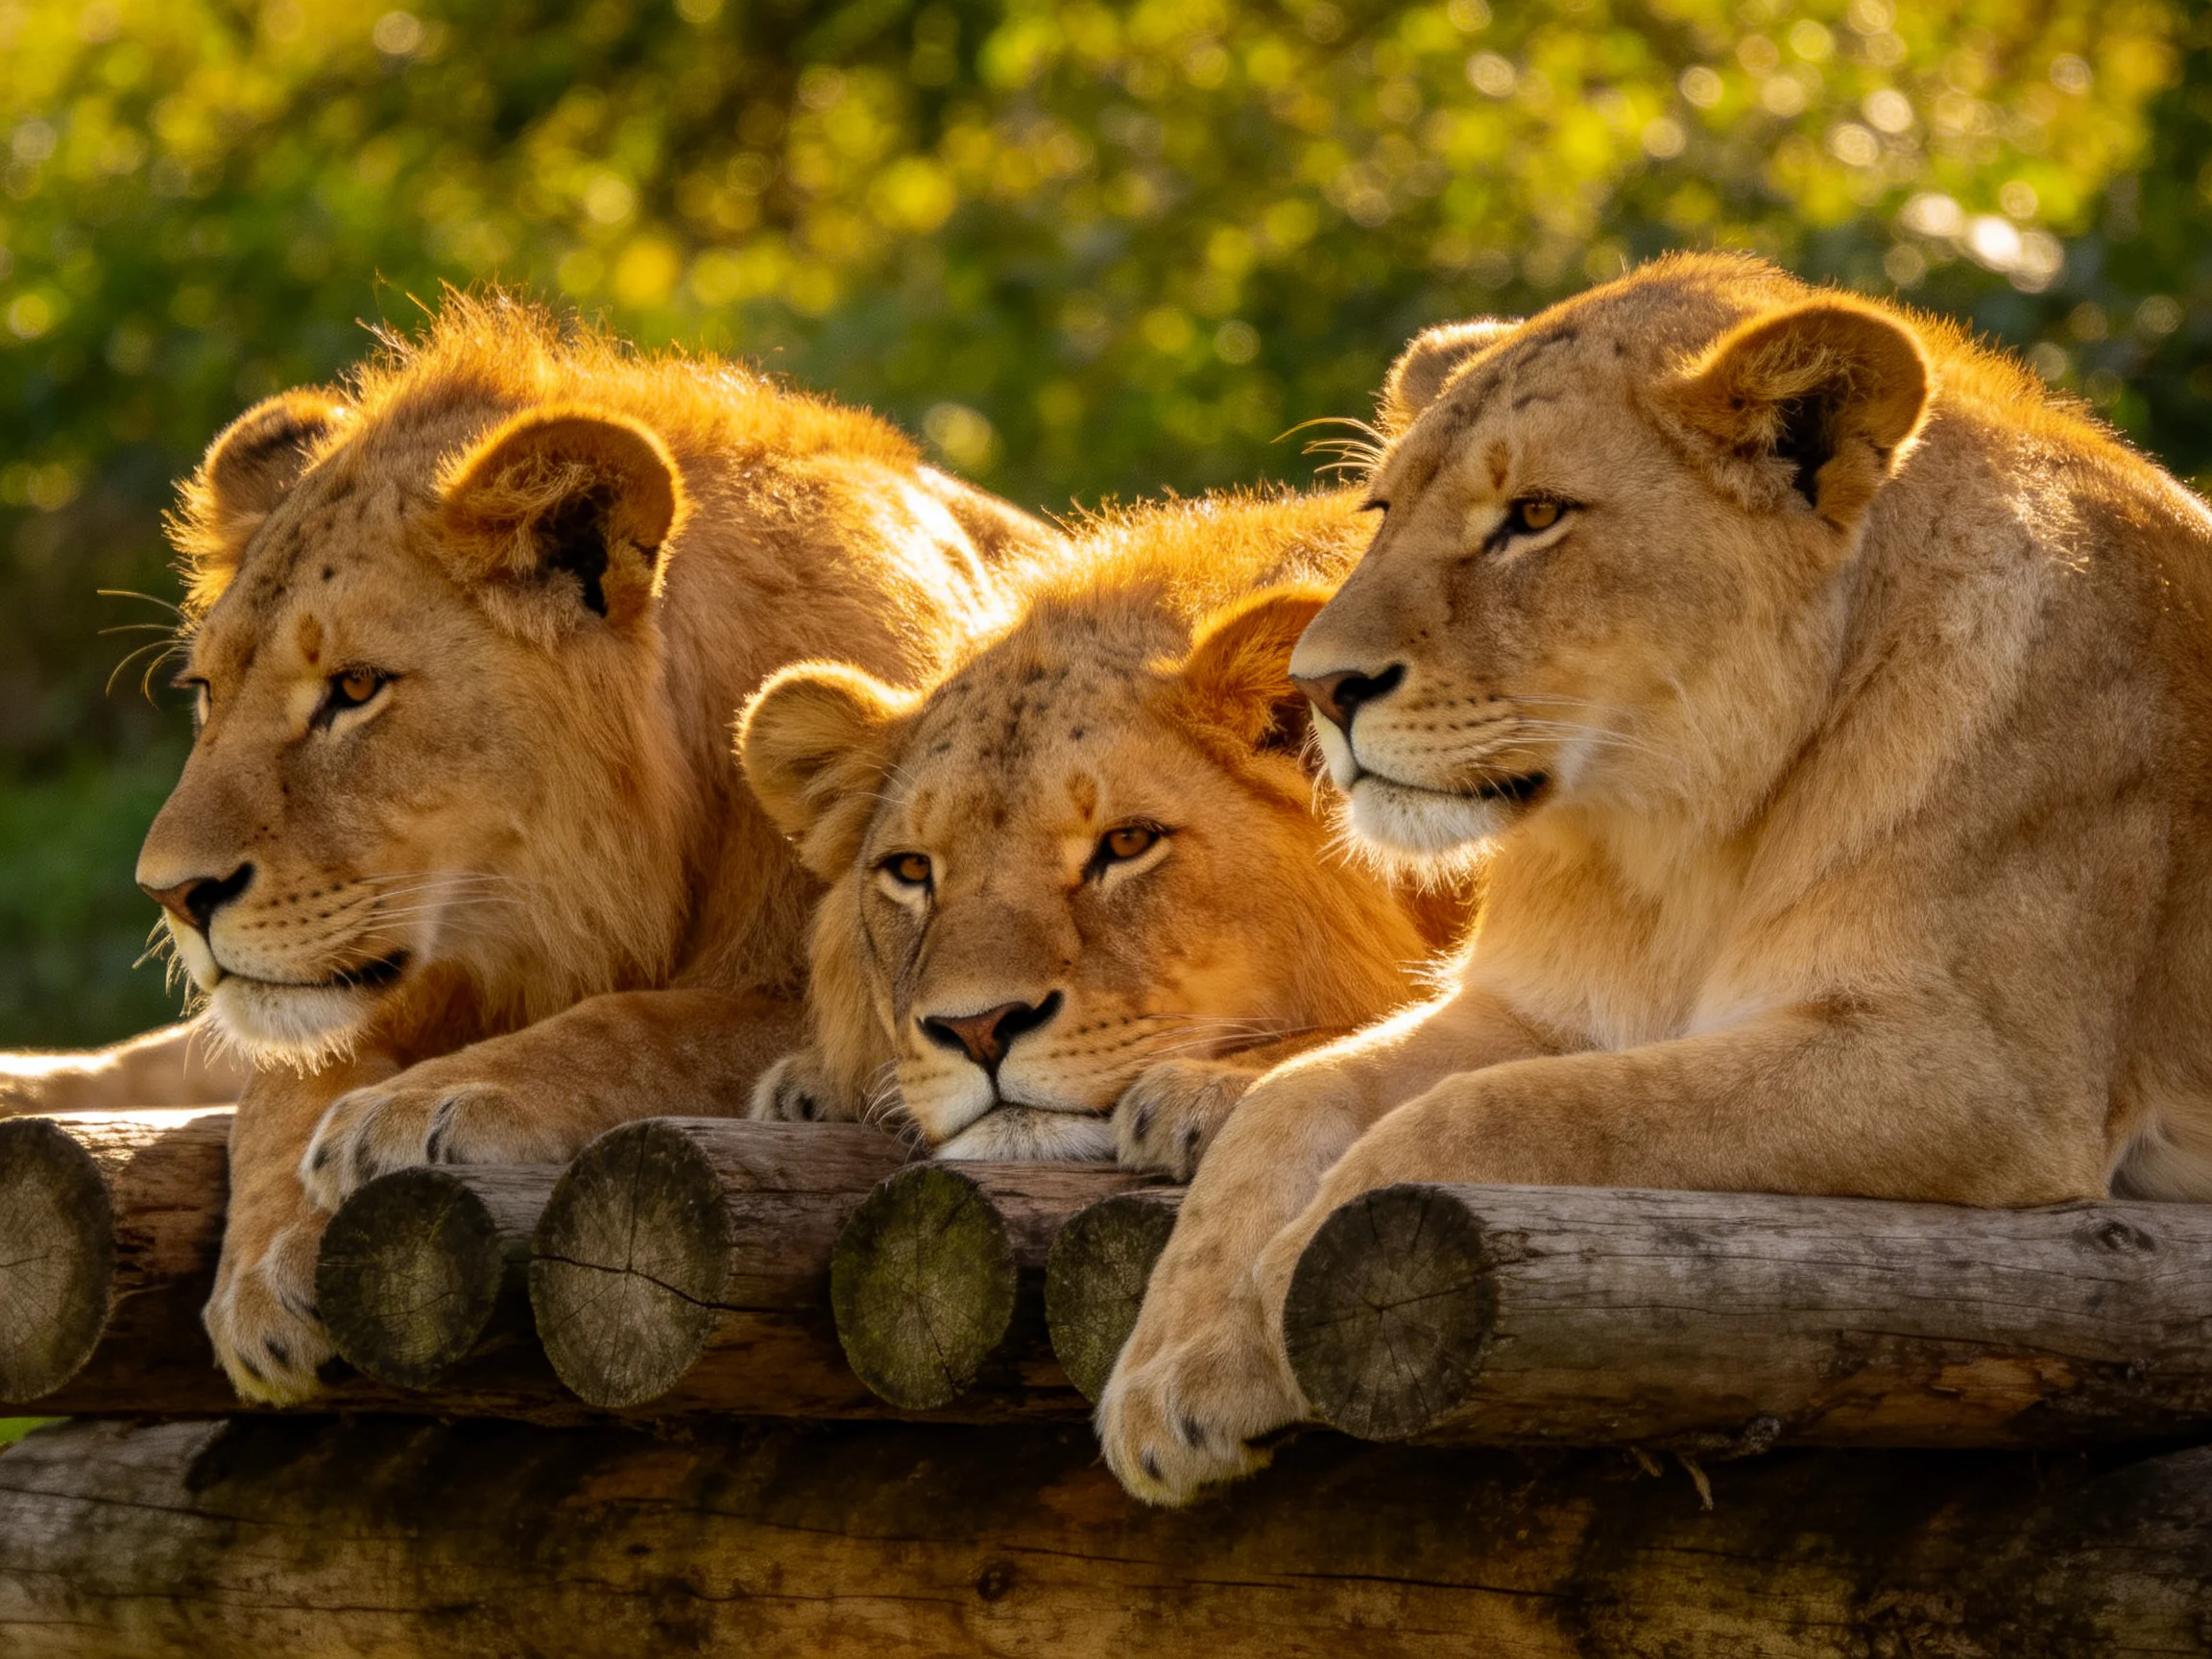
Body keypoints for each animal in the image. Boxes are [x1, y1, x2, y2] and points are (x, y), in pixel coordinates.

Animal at [24, 295, 1052, 1402]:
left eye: (354, 689)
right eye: (208, 693)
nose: (173, 894)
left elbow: (653, 1023)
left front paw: (421, 1104)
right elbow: (282, 1079)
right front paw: (262, 1268)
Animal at [1099, 251, 2212, 1504]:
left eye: (1534, 518)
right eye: (1382, 514)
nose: (1323, 687)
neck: (1679, 843)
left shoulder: (1983, 1074)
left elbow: (1510, 1111)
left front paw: (1260, 1314)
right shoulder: (1540, 1010)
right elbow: (1298, 1096)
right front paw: (1165, 1373)